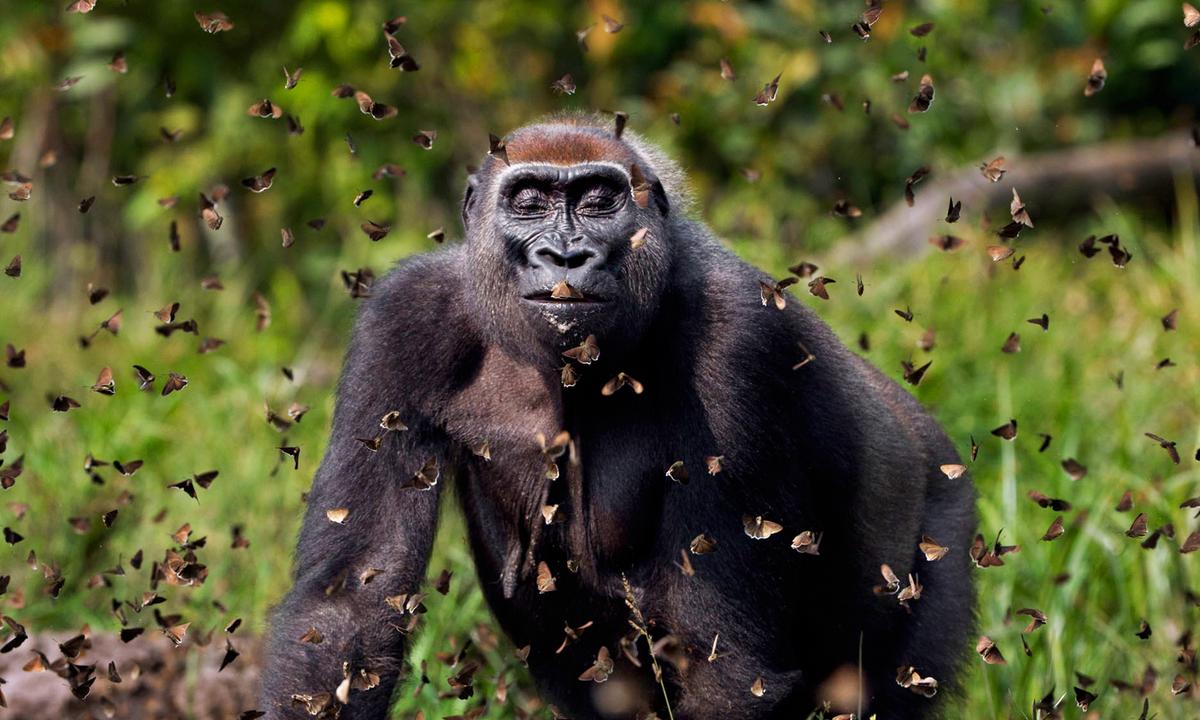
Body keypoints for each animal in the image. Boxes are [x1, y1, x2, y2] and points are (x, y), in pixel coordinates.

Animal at [260, 113, 976, 720]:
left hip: (942, 521)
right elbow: (351, 607)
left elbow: (727, 664)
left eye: (599, 200)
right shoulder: (404, 319)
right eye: (529, 201)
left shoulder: (740, 336)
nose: (566, 256)